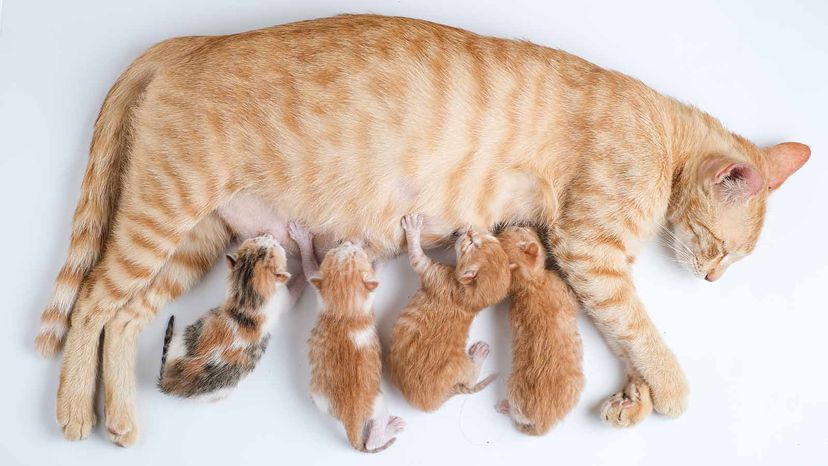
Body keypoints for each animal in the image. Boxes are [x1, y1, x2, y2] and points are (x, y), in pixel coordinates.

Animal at [290, 224, 406, 454]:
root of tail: (350, 421)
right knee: (372, 440)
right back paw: (389, 429)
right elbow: (309, 266)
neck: (344, 310)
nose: (349, 242)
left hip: (321, 397)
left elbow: (309, 270)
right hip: (379, 404)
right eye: (353, 252)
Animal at [386, 213, 512, 410]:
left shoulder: (429, 269)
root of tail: (447, 393)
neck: (469, 299)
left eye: (471, 243)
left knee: (471, 379)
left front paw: (413, 228)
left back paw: (480, 353)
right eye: (484, 238)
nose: (470, 231)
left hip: (464, 366)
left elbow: (415, 254)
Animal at [494, 228, 584, 436]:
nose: (528, 226)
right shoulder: (564, 293)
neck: (531, 284)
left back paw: (503, 406)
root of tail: (541, 421)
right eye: (520, 231)